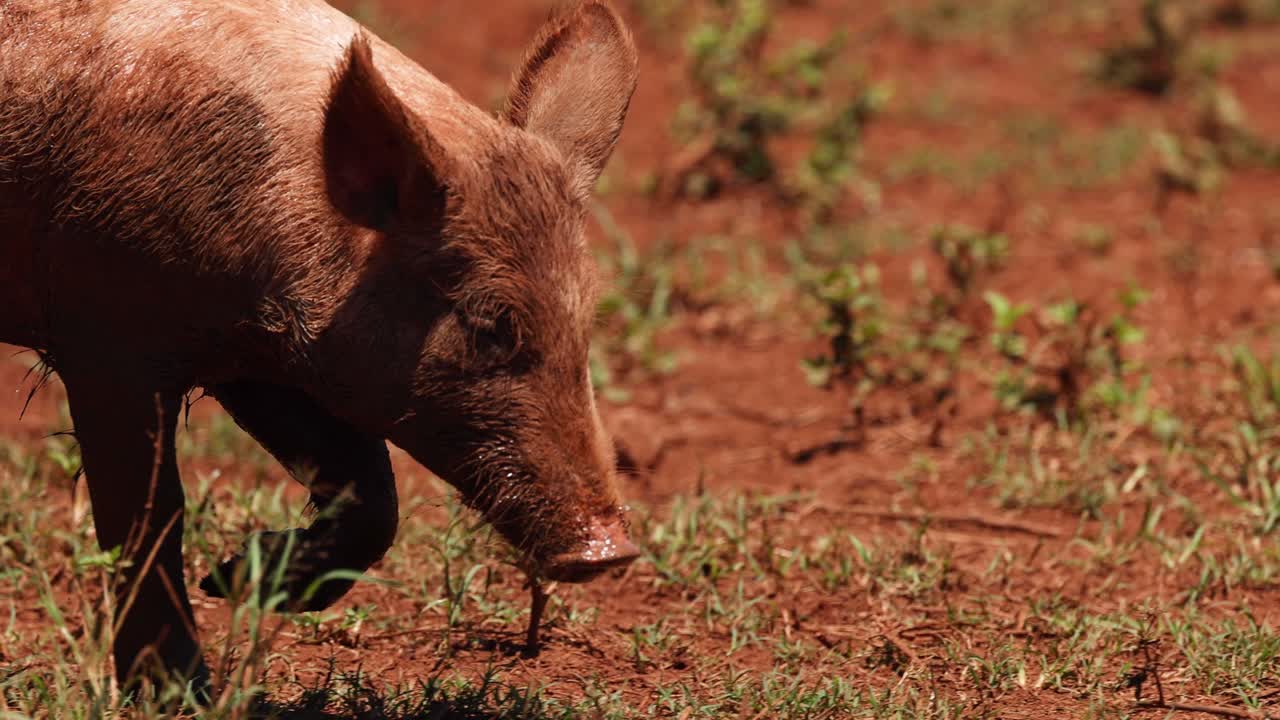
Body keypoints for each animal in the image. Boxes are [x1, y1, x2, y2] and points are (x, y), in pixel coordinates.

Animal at [0, 0, 640, 690]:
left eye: (585, 318)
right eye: (487, 322)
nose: (610, 547)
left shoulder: (263, 361)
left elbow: (373, 492)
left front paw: (236, 579)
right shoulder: (104, 341)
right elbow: (148, 516)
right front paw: (181, 692)